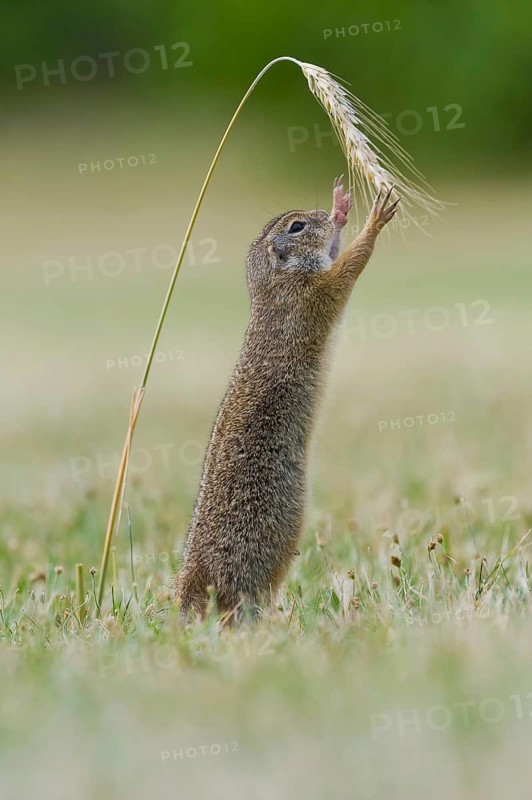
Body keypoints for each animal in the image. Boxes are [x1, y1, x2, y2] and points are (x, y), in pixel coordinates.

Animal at [175, 179, 399, 621]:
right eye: (296, 227)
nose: (322, 215)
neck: (271, 281)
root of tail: (192, 575)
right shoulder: (311, 292)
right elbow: (347, 269)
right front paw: (374, 220)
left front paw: (341, 208)